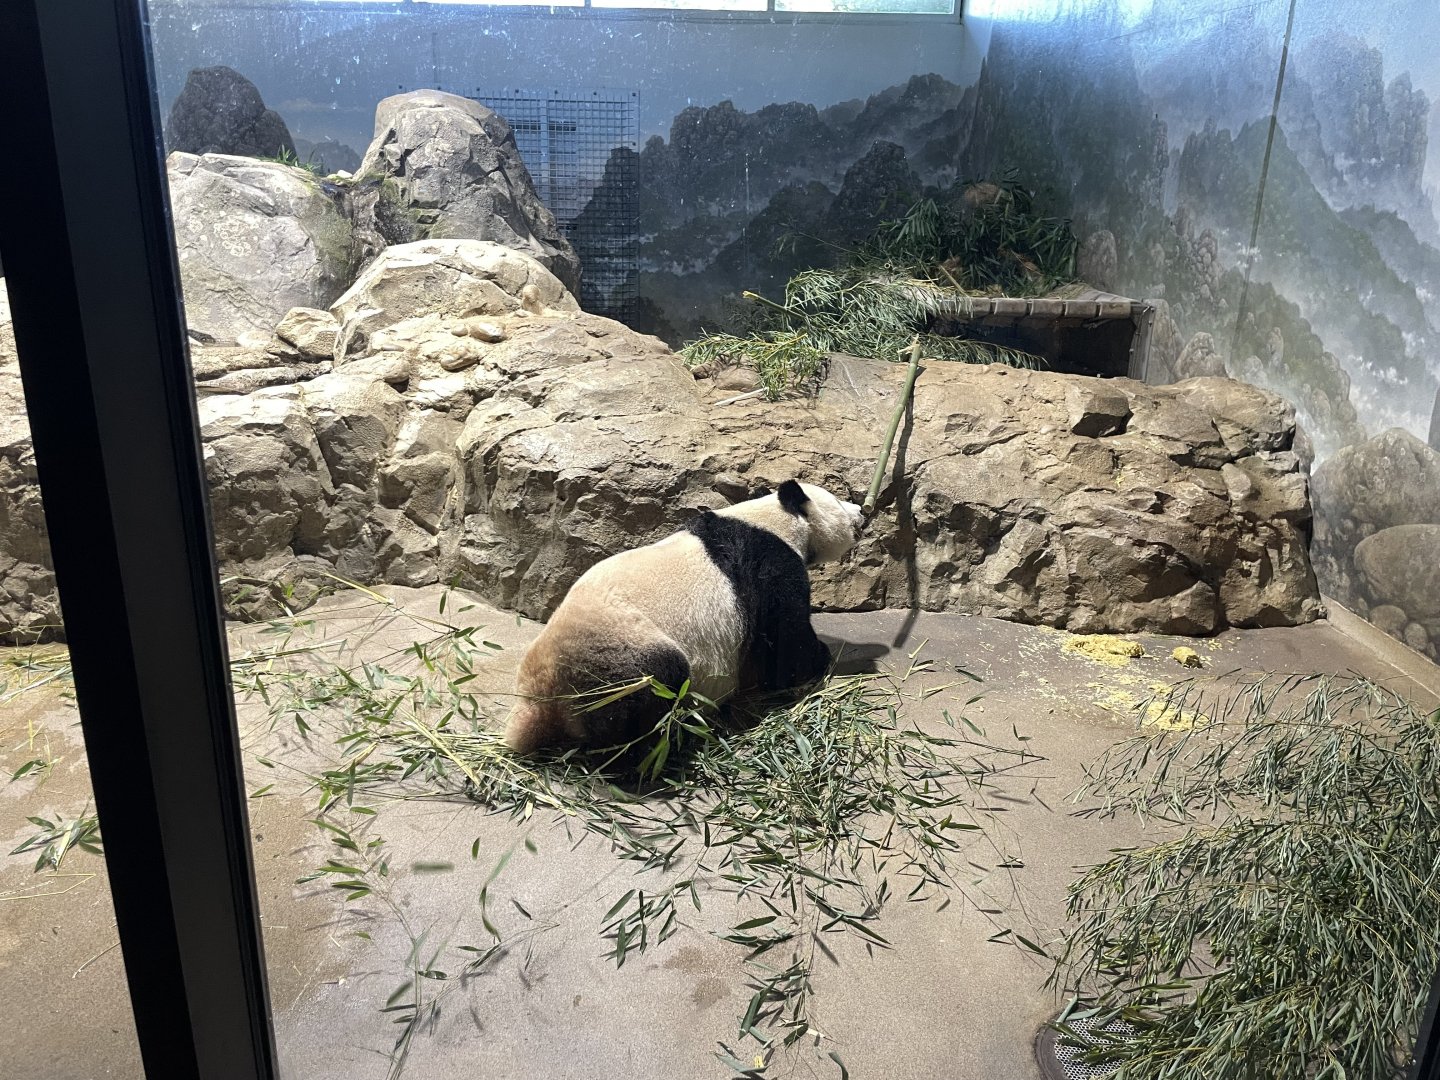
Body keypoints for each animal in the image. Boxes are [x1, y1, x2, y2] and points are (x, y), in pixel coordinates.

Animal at [503, 480, 864, 753]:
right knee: (644, 696)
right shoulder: (768, 568)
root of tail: (539, 694)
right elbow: (784, 643)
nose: (861, 512)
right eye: (838, 500)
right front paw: (820, 660)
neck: (769, 518)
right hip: (615, 657)